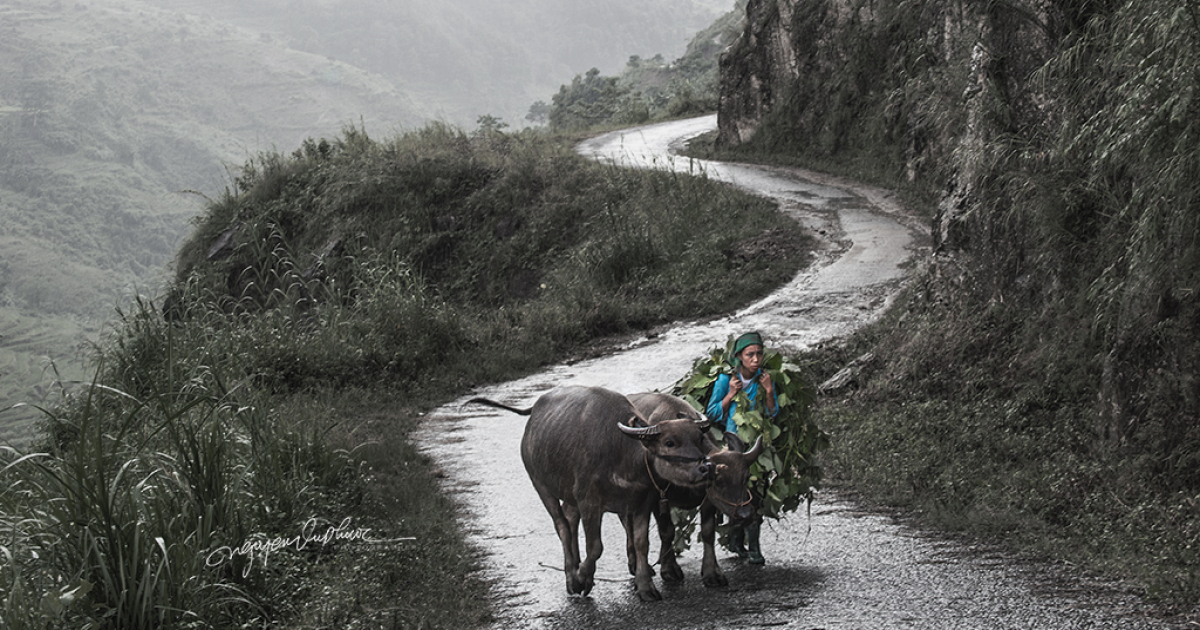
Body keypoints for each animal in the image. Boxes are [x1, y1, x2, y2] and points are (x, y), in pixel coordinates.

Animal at [465, 384, 710, 600]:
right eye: (669, 442)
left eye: (699, 438)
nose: (705, 467)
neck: (622, 454)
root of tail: (533, 413)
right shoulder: (589, 502)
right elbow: (595, 547)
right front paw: (582, 578)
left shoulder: (642, 502)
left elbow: (642, 543)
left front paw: (645, 587)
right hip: (541, 485)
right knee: (562, 526)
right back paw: (571, 575)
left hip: (571, 495)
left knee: (570, 519)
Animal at [628, 391, 758, 588]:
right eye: (719, 481)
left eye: (746, 477)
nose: (745, 515)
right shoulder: (658, 498)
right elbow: (667, 531)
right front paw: (669, 569)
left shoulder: (708, 500)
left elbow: (708, 532)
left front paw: (712, 572)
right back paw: (636, 565)